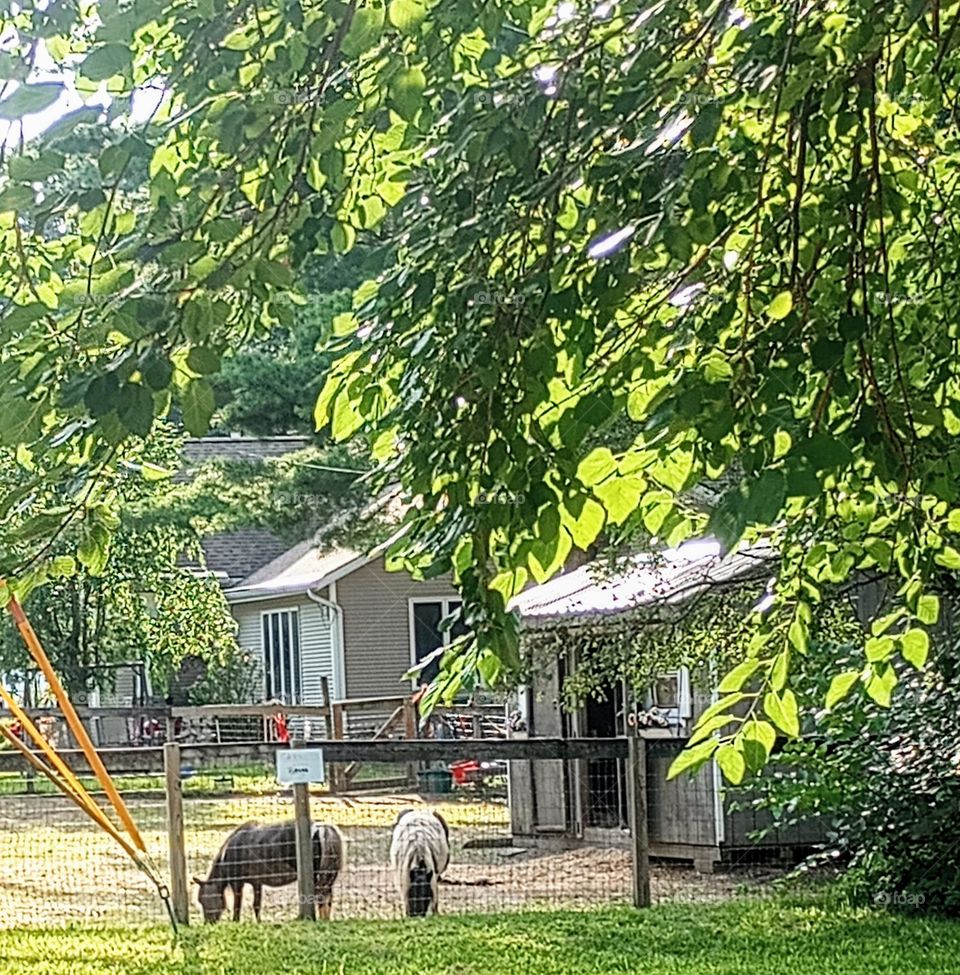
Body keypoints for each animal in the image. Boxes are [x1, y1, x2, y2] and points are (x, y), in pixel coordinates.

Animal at [193, 824, 344, 924]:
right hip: (329, 876)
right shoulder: (257, 882)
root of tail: (323, 829)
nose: (208, 923)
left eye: (203, 899)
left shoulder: (238, 883)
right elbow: (256, 905)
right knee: (327, 899)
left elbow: (238, 905)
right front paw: (259, 922)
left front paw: (236, 921)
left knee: (321, 898)